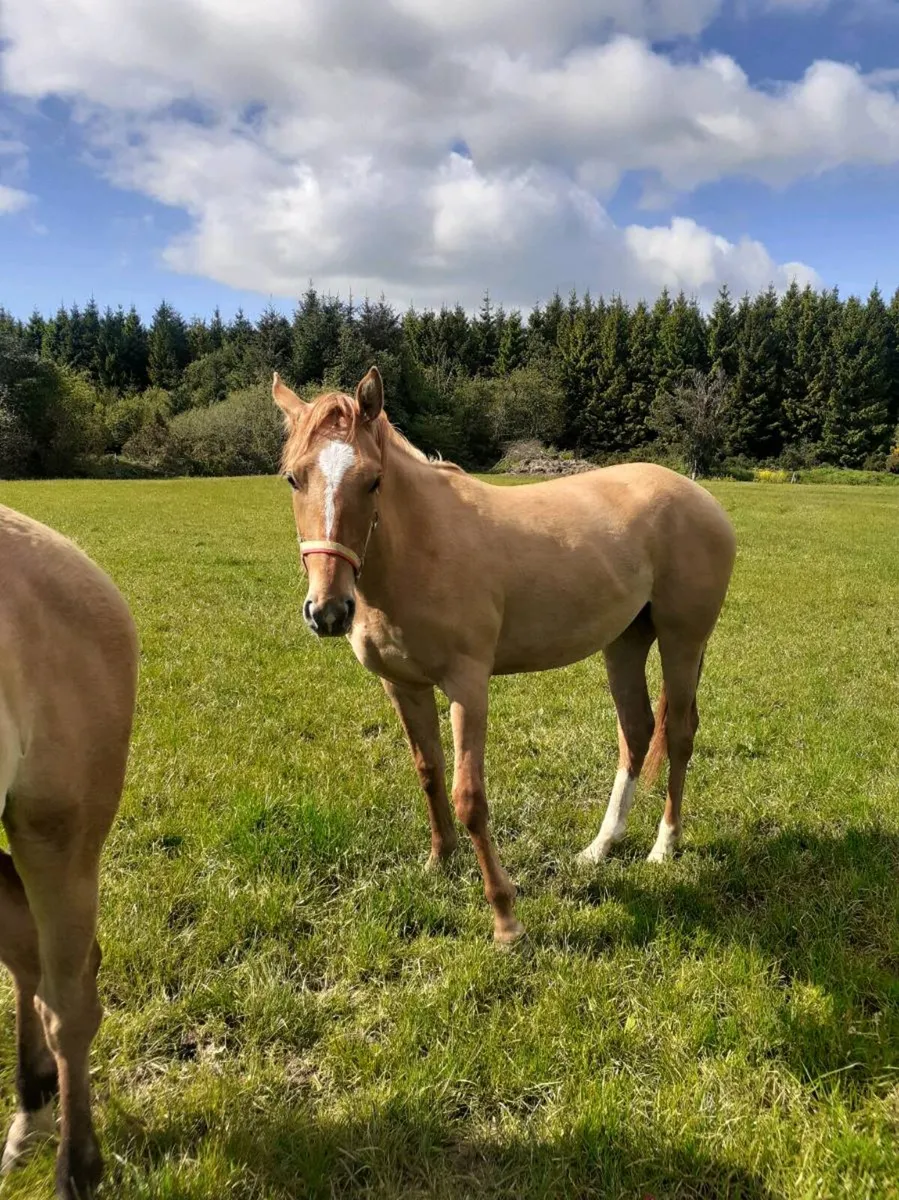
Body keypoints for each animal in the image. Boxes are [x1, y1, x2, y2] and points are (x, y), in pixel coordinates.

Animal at [273, 367, 736, 945]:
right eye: (293, 479)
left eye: (373, 480)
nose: (329, 611)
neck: (420, 549)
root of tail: (700, 496)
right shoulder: (404, 686)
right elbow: (429, 772)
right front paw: (439, 862)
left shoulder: (468, 686)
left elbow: (469, 797)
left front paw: (505, 918)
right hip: (625, 642)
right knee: (636, 731)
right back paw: (600, 848)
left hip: (682, 640)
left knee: (678, 735)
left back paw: (663, 846)